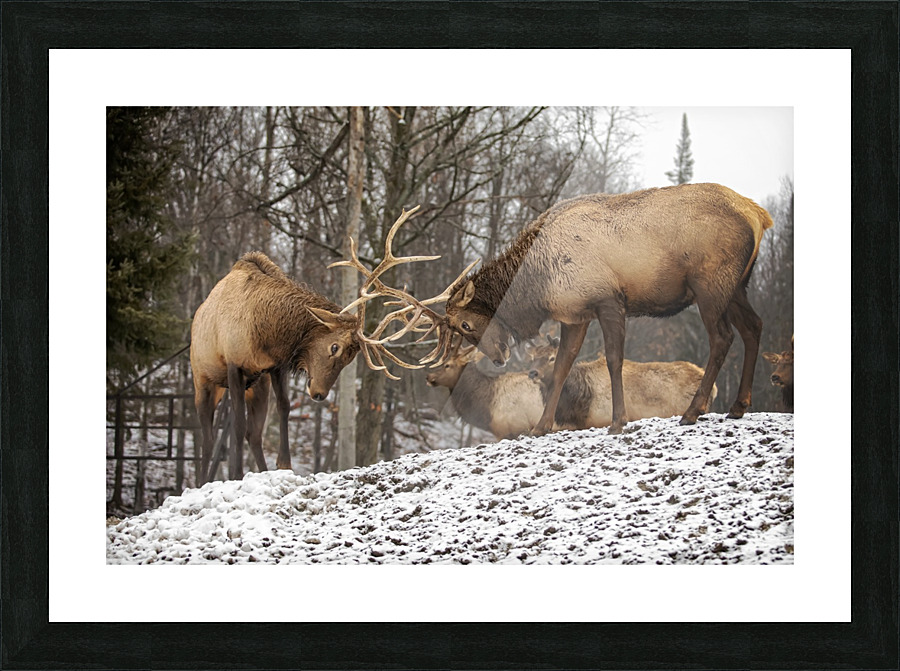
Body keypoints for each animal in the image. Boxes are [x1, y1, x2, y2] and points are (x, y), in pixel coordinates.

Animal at [190, 208, 448, 483]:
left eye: (350, 359)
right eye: (334, 347)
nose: (319, 394)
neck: (264, 331)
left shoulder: (274, 367)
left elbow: (284, 408)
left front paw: (284, 465)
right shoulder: (234, 364)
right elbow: (236, 425)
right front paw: (236, 474)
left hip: (257, 386)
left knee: (255, 434)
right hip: (203, 380)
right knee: (208, 437)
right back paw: (202, 480)